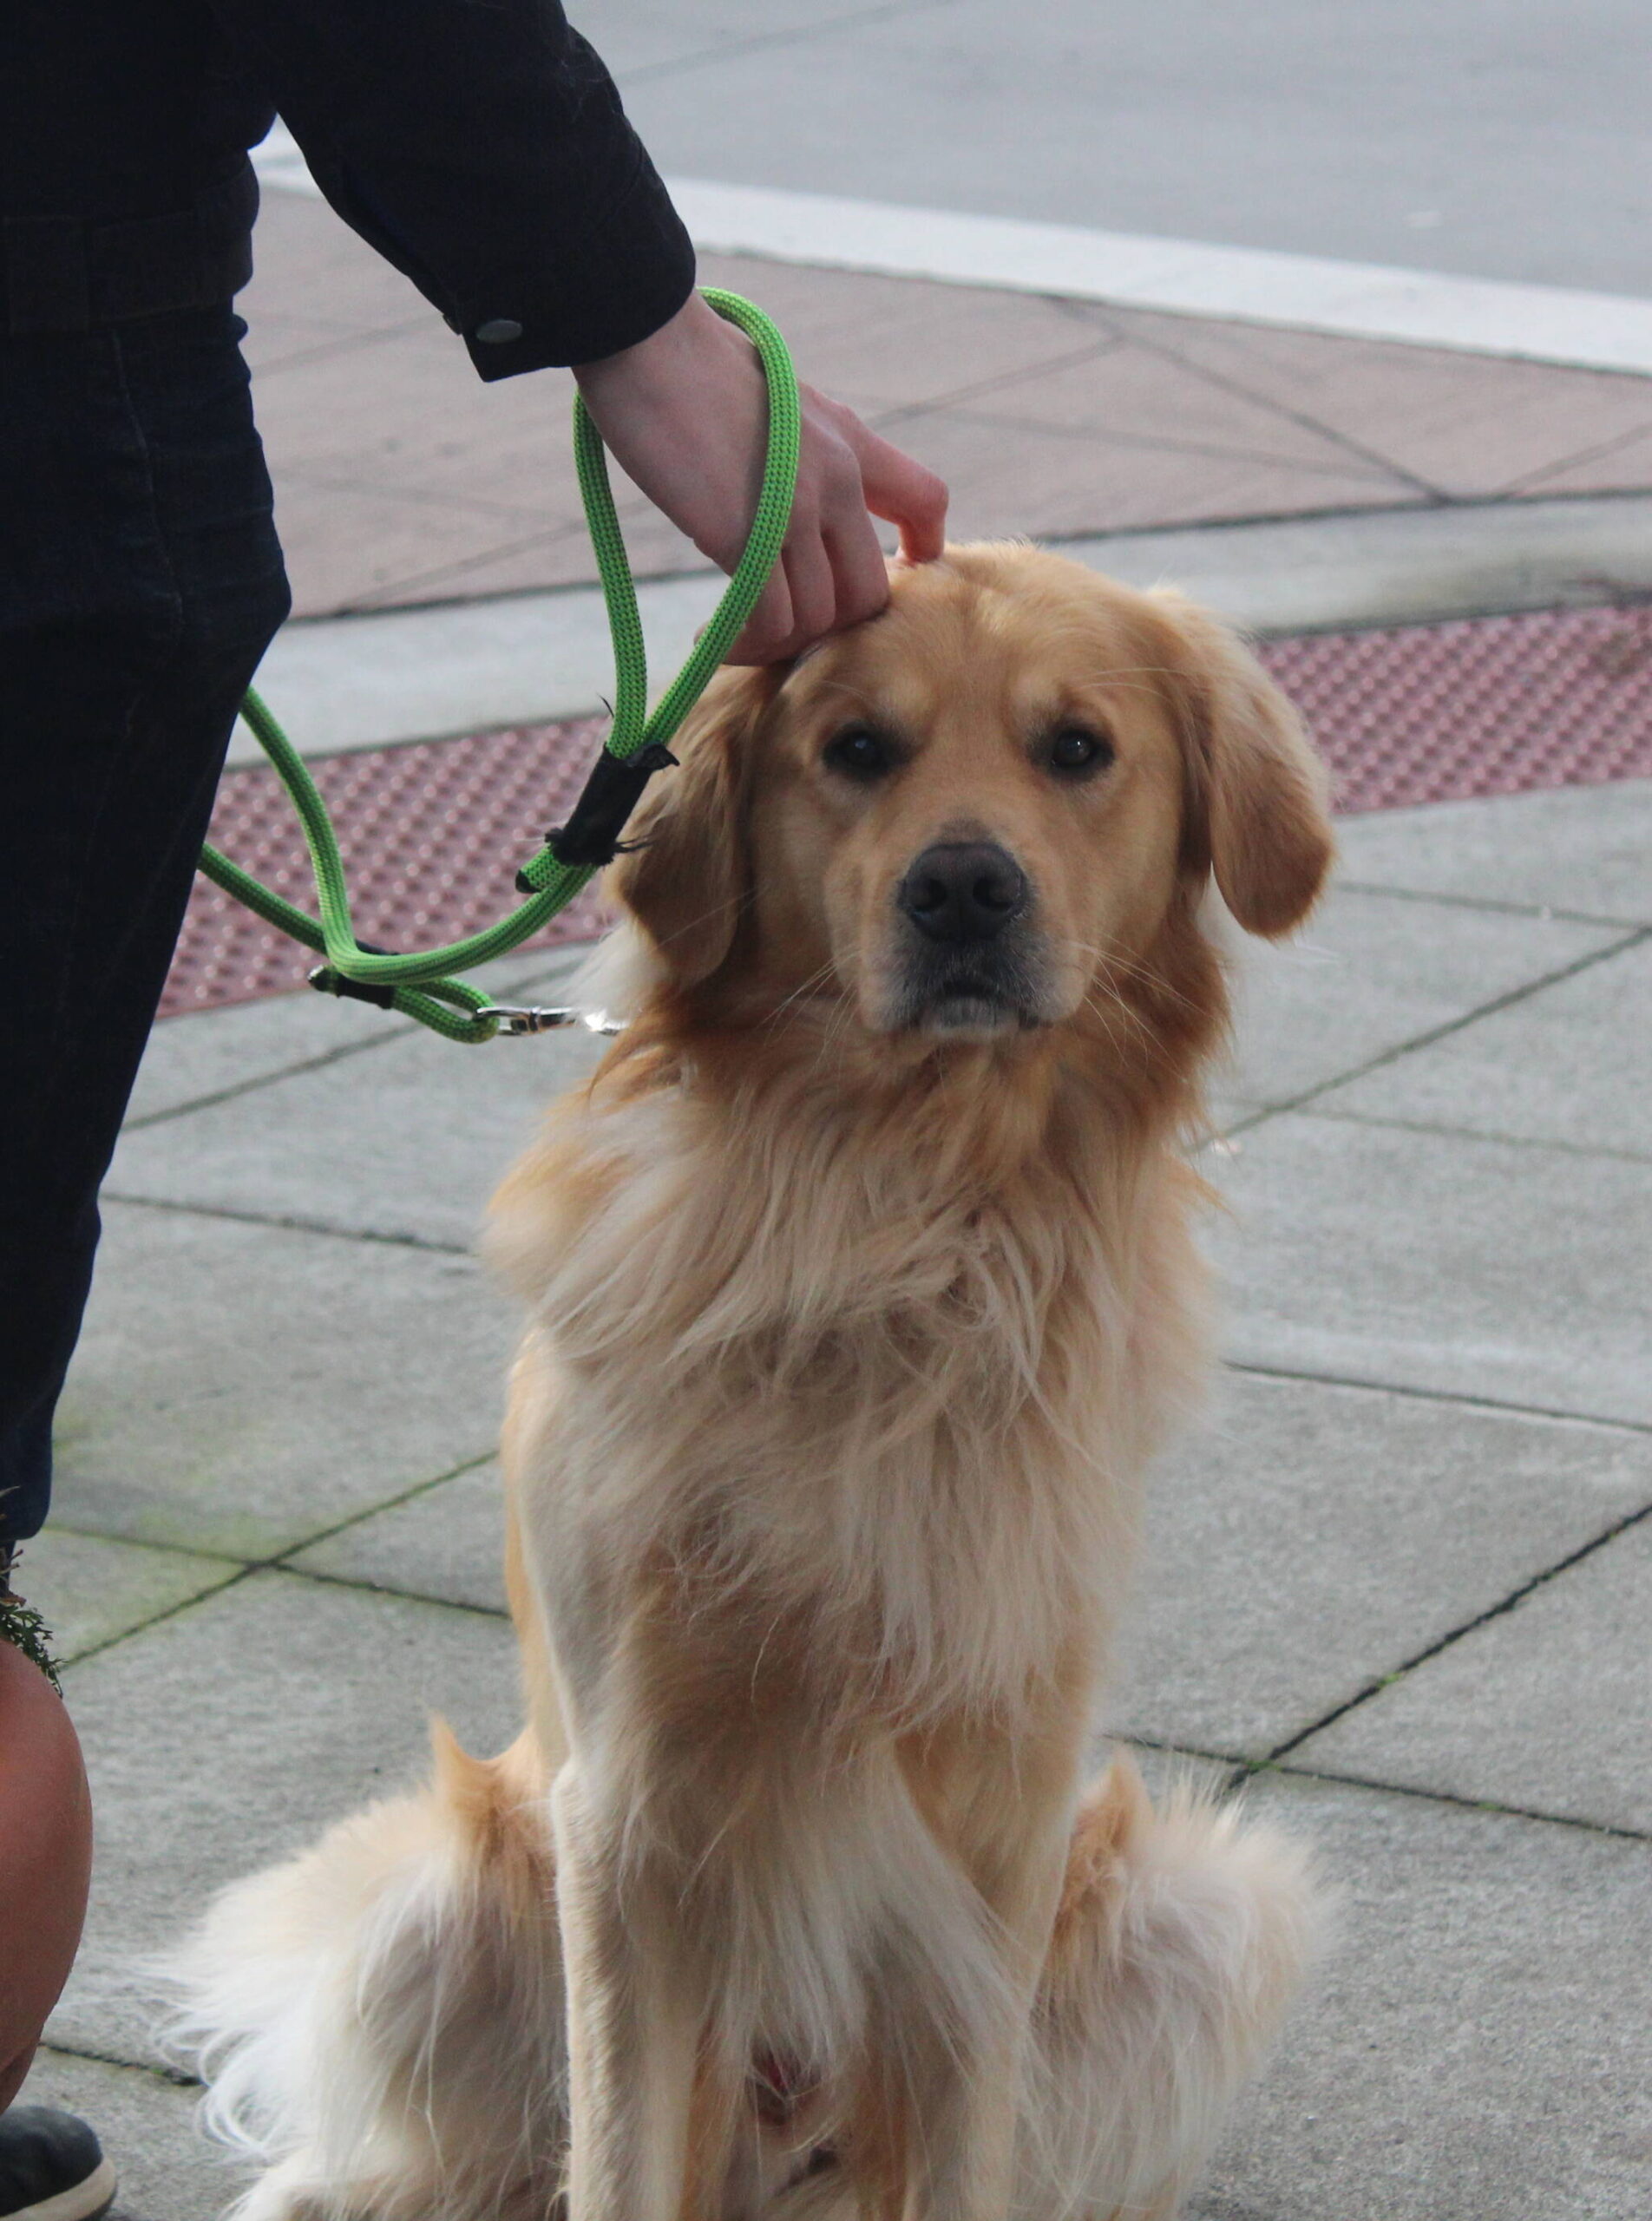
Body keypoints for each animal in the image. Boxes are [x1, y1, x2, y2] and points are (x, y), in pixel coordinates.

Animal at [167, 541, 1332, 2221]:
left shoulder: (1005, 1814)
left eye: (1076, 749)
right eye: (854, 748)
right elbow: (614, 2157)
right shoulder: (630, 1813)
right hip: (433, 1900)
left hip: (1190, 1909)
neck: (896, 1217)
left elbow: (962, 2153)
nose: (962, 888)